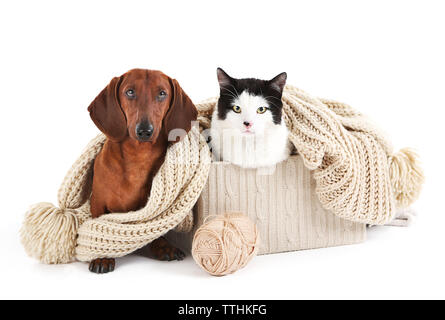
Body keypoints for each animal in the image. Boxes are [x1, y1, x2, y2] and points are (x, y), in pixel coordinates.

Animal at [86, 69, 196, 274]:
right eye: (130, 92)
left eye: (162, 93)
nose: (145, 130)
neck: (137, 157)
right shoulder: (97, 203)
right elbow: (98, 227)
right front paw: (101, 256)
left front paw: (163, 246)